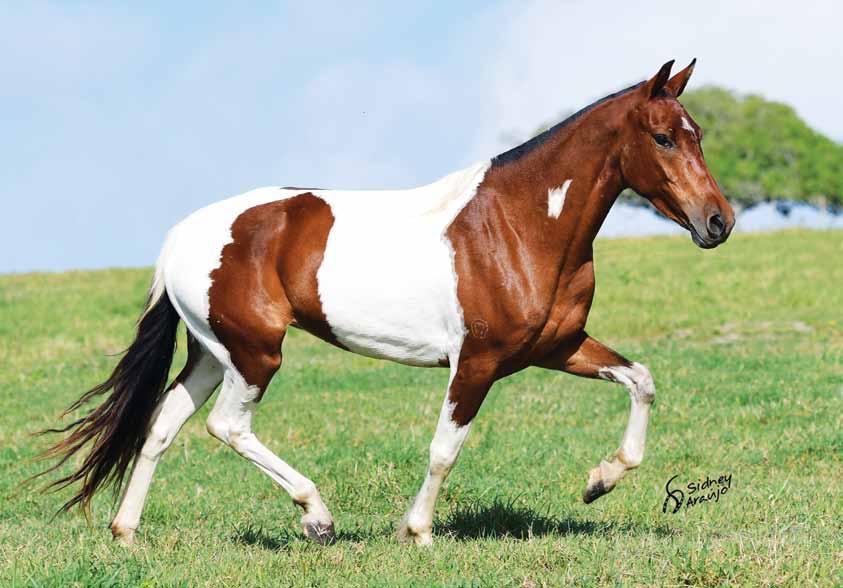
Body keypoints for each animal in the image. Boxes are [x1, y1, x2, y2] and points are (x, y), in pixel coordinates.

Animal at [41, 59, 732, 548]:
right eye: (664, 138)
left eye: (697, 134)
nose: (718, 222)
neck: (520, 224)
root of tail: (182, 236)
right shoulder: (476, 362)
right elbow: (444, 448)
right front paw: (416, 530)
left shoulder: (556, 348)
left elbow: (642, 380)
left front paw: (599, 481)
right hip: (257, 352)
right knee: (226, 426)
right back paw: (317, 518)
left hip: (215, 352)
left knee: (163, 423)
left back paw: (127, 533)